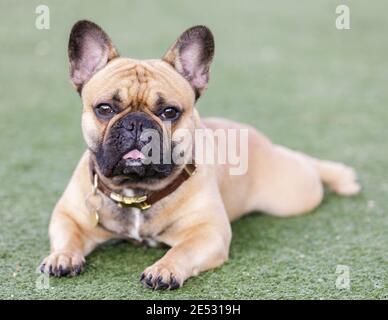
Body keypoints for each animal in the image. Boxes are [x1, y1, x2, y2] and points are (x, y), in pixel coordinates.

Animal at [39, 20, 360, 290]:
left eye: (170, 112)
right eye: (104, 108)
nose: (137, 124)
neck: (137, 191)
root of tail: (259, 138)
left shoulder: (208, 232)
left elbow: (182, 250)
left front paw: (164, 269)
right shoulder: (69, 215)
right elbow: (68, 234)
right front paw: (62, 256)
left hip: (294, 195)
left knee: (307, 165)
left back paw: (339, 175)